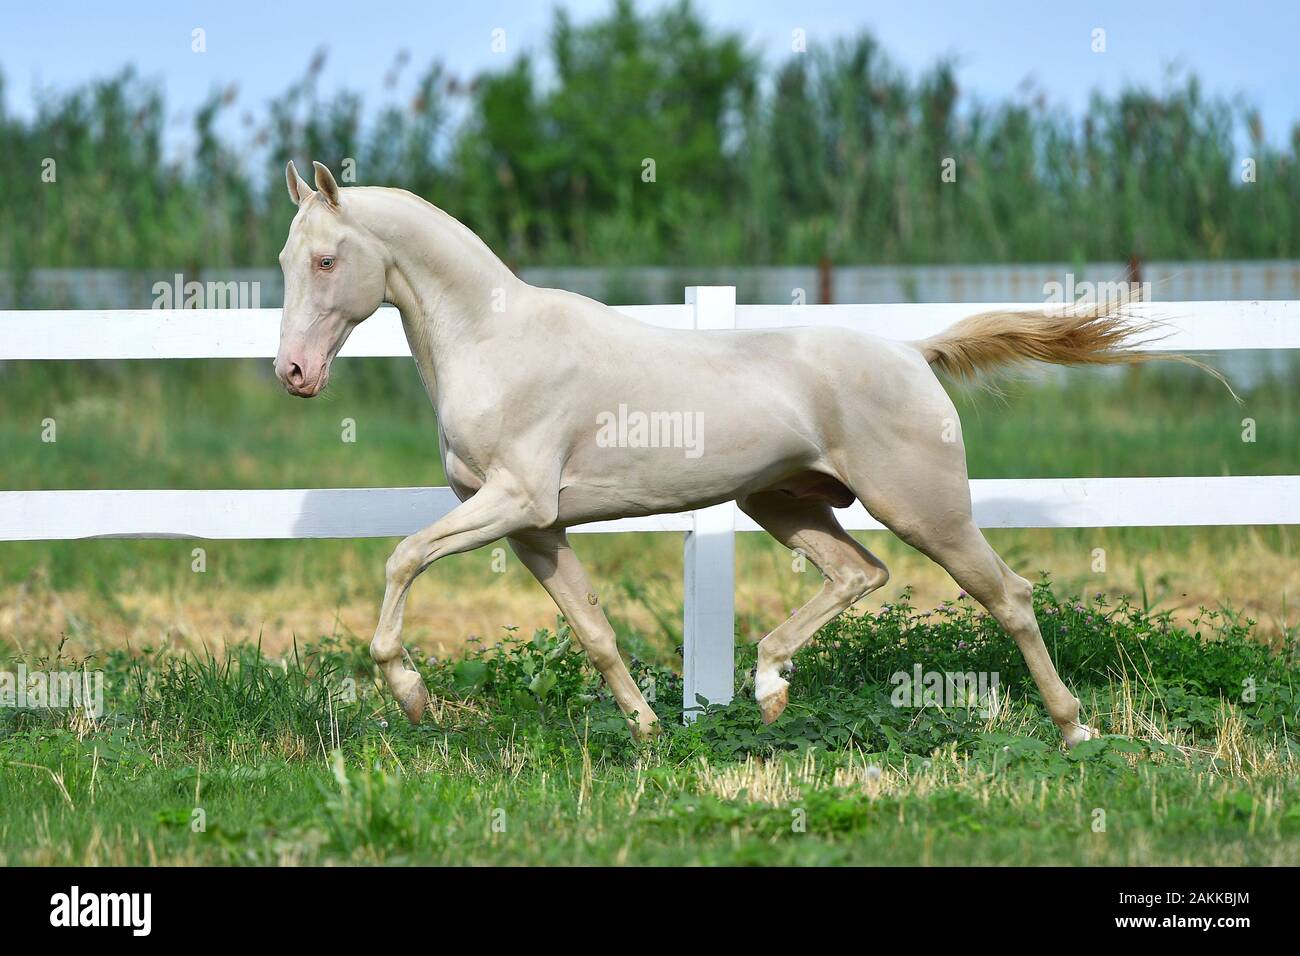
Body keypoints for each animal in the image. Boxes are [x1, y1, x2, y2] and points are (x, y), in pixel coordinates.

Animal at [274, 162, 1206, 749]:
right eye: (285, 259)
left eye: (326, 258)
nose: (295, 374)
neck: (496, 341)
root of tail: (913, 352)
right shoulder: (535, 530)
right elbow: (595, 631)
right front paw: (651, 734)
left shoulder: (515, 502)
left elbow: (402, 557)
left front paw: (411, 698)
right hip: (783, 502)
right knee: (859, 573)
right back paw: (768, 689)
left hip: (925, 510)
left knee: (1007, 596)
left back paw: (1075, 728)